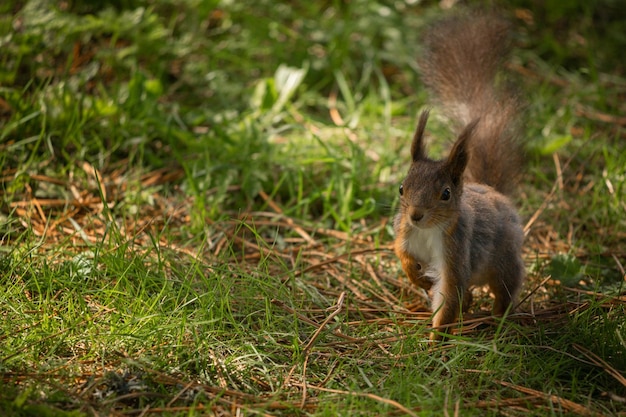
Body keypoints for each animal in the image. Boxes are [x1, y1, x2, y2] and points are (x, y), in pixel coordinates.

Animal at [392, 11, 524, 340]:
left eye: (446, 194)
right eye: (402, 188)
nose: (416, 215)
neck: (428, 231)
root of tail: (493, 191)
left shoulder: (456, 251)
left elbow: (449, 293)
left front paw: (435, 340)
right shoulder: (405, 234)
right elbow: (401, 253)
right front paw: (415, 276)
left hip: (505, 259)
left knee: (504, 288)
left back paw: (499, 319)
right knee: (469, 295)